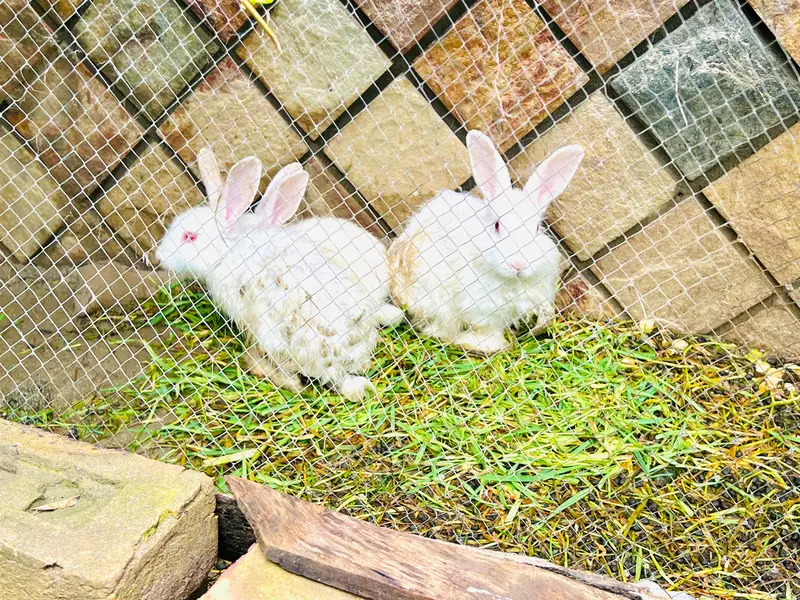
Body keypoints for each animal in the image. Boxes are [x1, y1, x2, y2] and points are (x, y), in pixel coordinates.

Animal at [388, 130, 584, 355]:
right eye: (497, 225)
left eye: (535, 228)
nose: (518, 264)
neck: (510, 281)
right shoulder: (482, 308)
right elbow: (488, 330)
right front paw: (491, 346)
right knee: (437, 329)